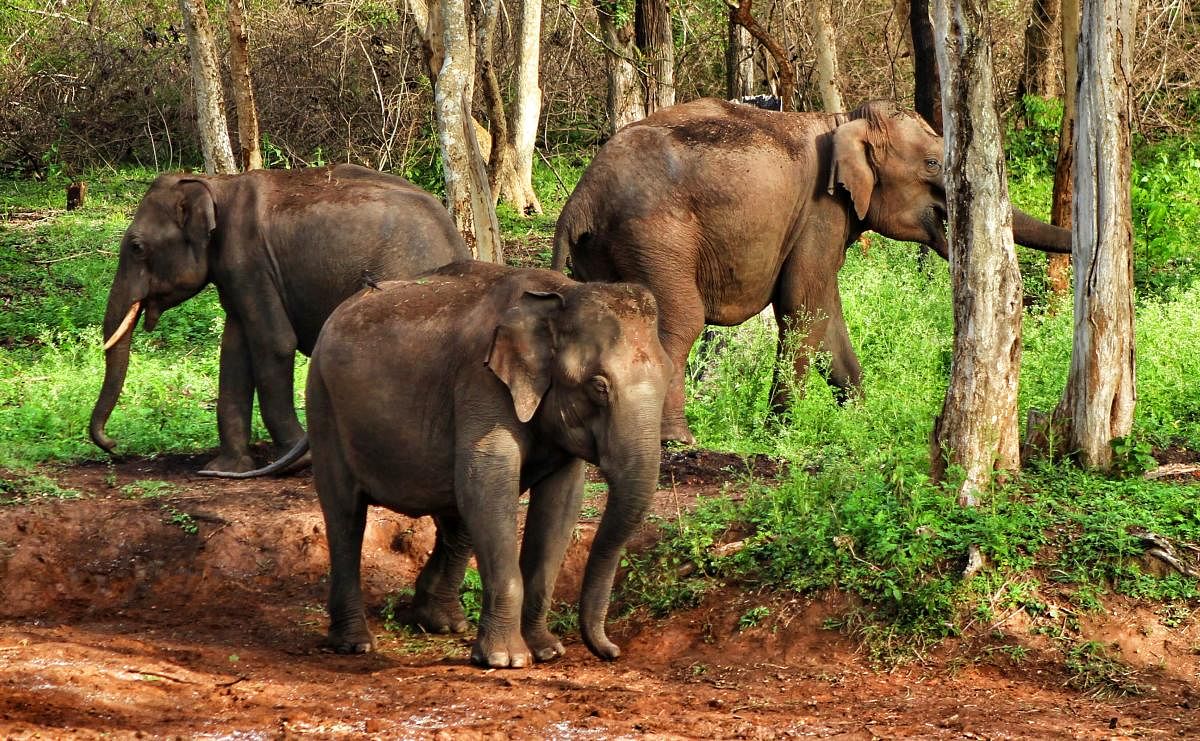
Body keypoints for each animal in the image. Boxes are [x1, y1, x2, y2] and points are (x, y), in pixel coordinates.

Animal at [88, 164, 470, 470]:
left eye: (136, 247)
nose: (114, 446)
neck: (216, 183)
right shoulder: (236, 275)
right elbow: (234, 352)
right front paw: (226, 468)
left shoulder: (250, 260)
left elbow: (275, 343)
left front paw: (296, 461)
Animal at [206, 261, 676, 671]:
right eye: (598, 386)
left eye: (670, 378)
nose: (611, 650)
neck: (560, 294)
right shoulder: (481, 382)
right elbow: (489, 483)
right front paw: (507, 660)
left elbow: (558, 503)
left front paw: (546, 651)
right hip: (324, 403)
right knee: (345, 515)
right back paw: (354, 644)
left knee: (456, 511)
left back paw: (440, 623)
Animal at [549, 98, 1075, 443]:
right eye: (931, 163)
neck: (842, 121)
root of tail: (580, 198)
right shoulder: (820, 212)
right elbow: (803, 306)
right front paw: (780, 430)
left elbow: (827, 314)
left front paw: (861, 417)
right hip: (655, 238)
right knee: (679, 321)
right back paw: (676, 441)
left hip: (604, 251)